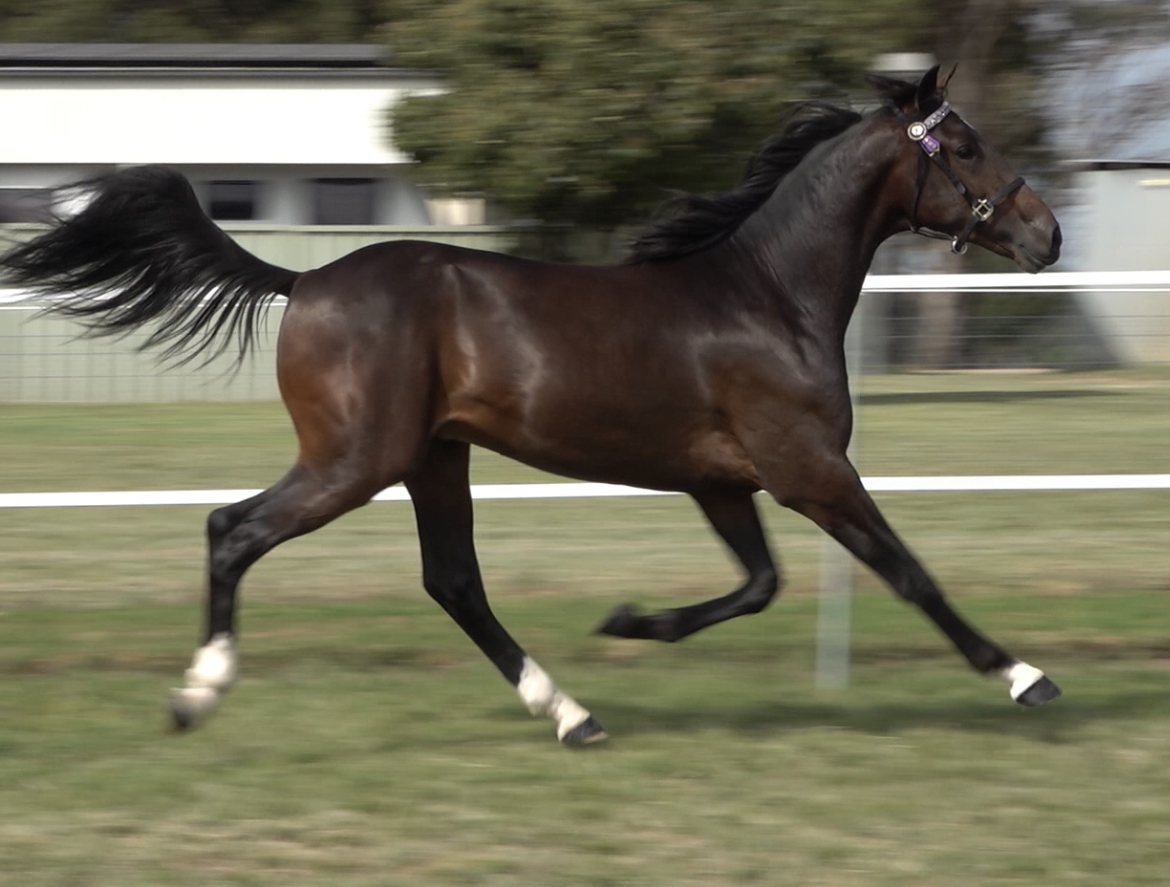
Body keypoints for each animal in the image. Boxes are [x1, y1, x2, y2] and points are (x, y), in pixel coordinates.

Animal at [0, 66, 1062, 744]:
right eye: (964, 146)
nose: (1046, 234)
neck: (765, 293)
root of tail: (303, 282)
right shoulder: (810, 470)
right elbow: (908, 571)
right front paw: (1026, 678)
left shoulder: (723, 482)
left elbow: (760, 584)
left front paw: (630, 621)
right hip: (356, 459)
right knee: (233, 529)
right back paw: (197, 695)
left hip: (433, 458)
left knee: (454, 583)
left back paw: (572, 712)